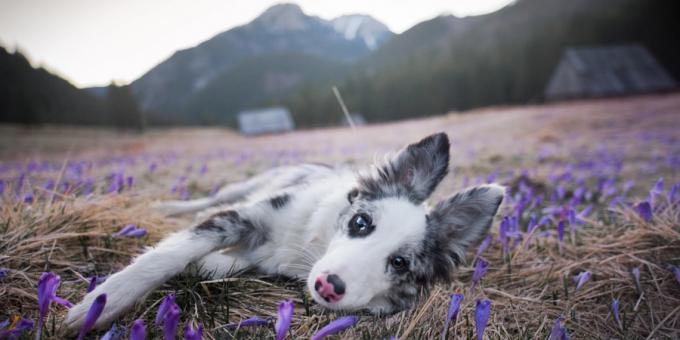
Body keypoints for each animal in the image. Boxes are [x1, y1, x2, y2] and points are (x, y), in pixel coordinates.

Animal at [65, 132, 504, 330]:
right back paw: (162, 207)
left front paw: (209, 265)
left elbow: (218, 264)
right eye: (361, 222)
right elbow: (167, 255)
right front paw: (100, 304)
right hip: (245, 188)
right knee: (205, 201)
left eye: (399, 263)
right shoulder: (246, 215)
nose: (329, 286)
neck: (305, 249)